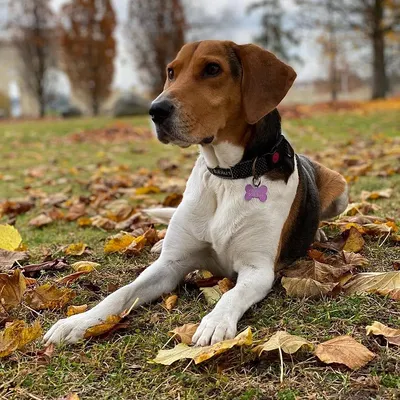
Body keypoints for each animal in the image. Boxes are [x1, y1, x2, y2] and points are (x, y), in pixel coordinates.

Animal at [45, 39, 348, 346]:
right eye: (171, 72)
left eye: (212, 69)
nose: (156, 110)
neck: (227, 175)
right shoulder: (169, 266)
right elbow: (121, 293)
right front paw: (79, 321)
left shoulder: (258, 269)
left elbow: (231, 294)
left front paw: (215, 322)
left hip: (340, 188)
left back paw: (318, 234)